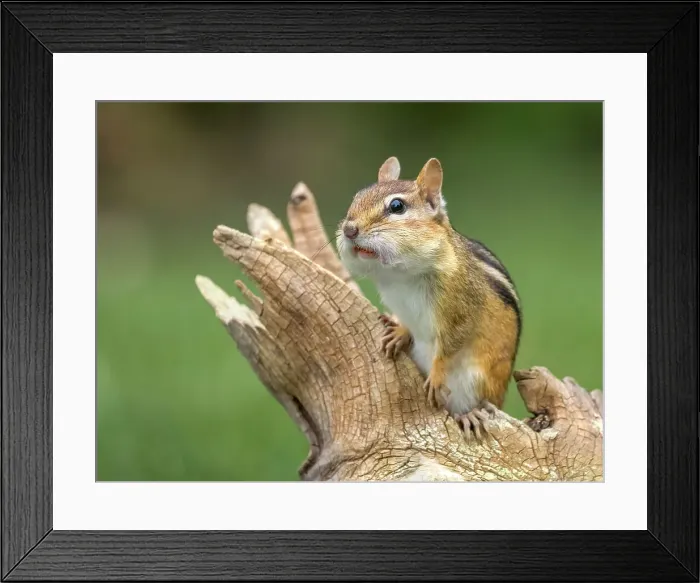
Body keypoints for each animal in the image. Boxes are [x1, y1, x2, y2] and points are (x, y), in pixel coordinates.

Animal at [336, 156, 522, 439]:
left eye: (397, 206)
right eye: (357, 197)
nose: (349, 229)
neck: (402, 276)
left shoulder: (459, 312)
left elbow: (450, 344)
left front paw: (436, 375)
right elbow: (407, 324)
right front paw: (398, 333)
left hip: (477, 381)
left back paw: (469, 415)